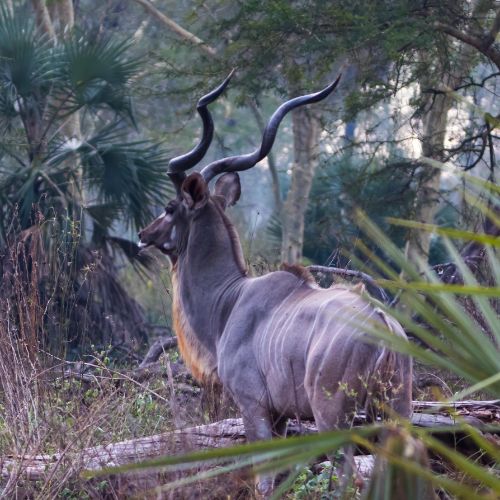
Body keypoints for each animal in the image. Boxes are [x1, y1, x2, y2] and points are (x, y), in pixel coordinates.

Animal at [139, 72, 412, 494]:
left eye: (170, 208)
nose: (143, 234)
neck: (230, 300)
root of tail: (382, 324)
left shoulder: (254, 408)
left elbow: (265, 481)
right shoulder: (282, 417)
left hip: (335, 418)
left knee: (347, 474)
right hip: (397, 412)